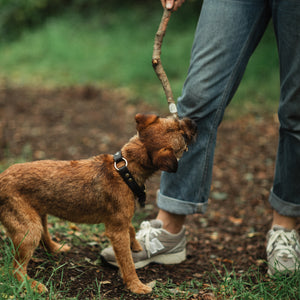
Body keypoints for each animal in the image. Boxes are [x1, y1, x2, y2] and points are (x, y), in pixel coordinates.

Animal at [0, 113, 197, 294]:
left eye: (177, 121)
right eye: (183, 136)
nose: (194, 121)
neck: (125, 170)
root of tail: (1, 179)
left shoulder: (120, 220)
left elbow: (131, 228)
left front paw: (135, 244)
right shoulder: (116, 231)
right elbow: (127, 262)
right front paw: (135, 285)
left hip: (39, 216)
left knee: (43, 236)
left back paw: (55, 248)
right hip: (29, 229)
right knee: (16, 269)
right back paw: (33, 285)